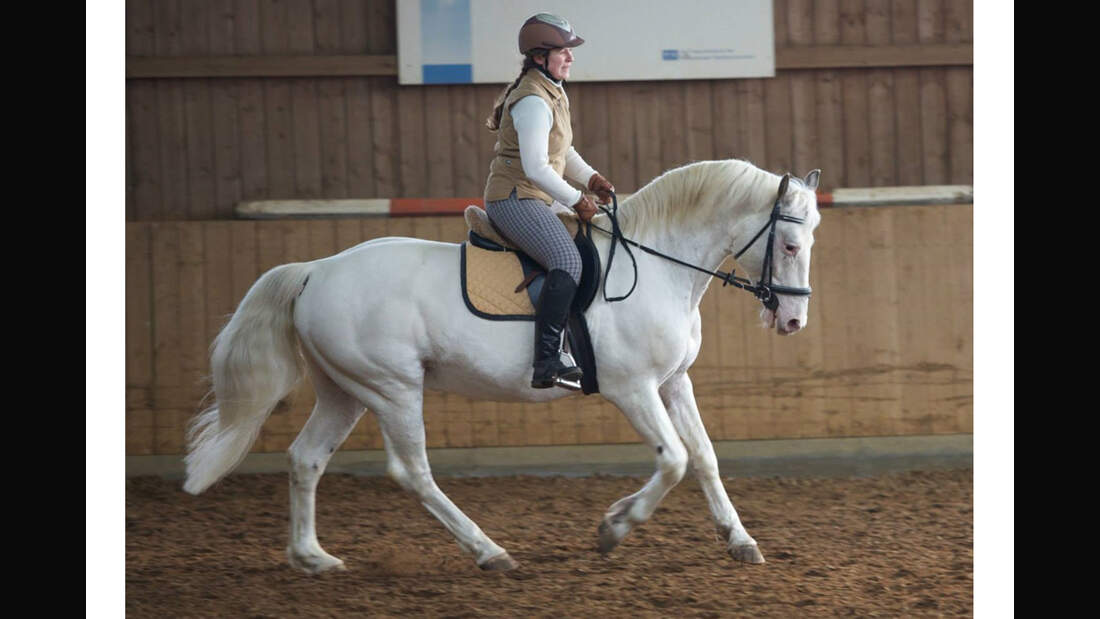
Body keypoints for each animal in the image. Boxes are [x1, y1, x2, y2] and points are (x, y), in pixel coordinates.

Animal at [182, 157, 818, 576]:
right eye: (789, 245)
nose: (792, 321)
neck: (658, 267)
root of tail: (315, 270)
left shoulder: (673, 382)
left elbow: (706, 458)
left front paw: (739, 541)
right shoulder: (632, 388)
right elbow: (675, 460)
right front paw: (613, 528)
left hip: (346, 391)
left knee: (306, 458)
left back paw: (312, 557)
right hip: (391, 389)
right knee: (411, 471)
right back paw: (489, 552)